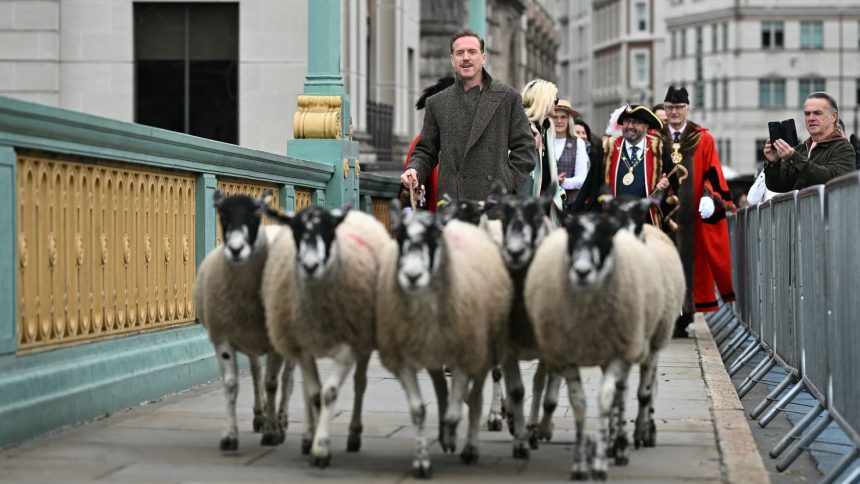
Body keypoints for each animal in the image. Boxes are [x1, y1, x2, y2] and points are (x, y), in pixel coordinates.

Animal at [192, 191, 296, 452]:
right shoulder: (223, 337)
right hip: (249, 338)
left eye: (255, 214)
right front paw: (230, 436)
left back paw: (281, 419)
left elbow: (272, 384)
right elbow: (231, 384)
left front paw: (272, 432)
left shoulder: (274, 344)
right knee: (256, 372)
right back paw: (259, 415)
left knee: (287, 381)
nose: (236, 249)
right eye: (223, 214)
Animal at [262, 206, 394, 466]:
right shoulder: (303, 348)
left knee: (360, 383)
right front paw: (313, 441)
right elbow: (314, 395)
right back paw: (306, 437)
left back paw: (354, 435)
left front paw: (321, 448)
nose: (311, 266)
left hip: (363, 342)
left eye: (329, 231)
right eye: (296, 231)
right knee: (305, 390)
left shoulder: (347, 348)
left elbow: (330, 392)